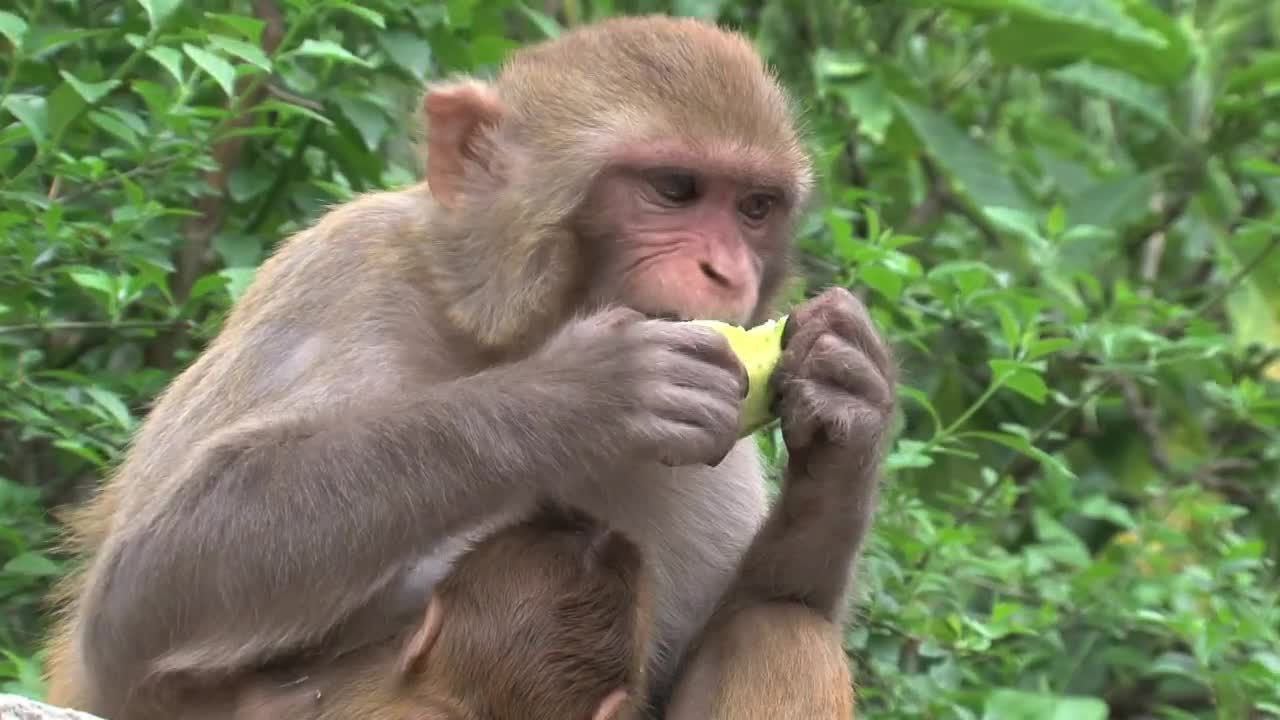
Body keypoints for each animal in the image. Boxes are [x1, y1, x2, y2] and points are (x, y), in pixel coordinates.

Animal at [42, 14, 895, 719]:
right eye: (675, 189)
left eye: (754, 207)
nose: (726, 272)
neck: (507, 335)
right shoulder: (343, 274)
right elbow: (138, 602)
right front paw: (580, 394)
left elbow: (756, 607)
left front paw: (850, 405)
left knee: (779, 627)